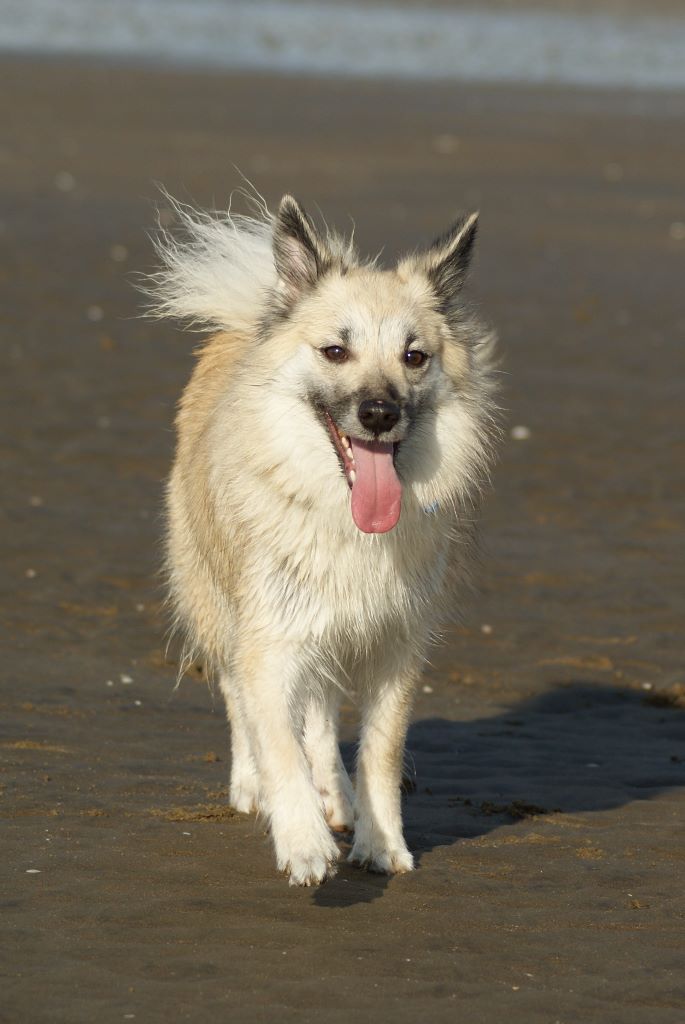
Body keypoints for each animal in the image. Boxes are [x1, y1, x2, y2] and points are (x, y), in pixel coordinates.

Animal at [148, 190, 497, 880]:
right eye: (336, 351)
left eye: (414, 356)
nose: (379, 414)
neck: (343, 516)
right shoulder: (269, 638)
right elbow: (275, 738)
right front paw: (303, 841)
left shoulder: (393, 647)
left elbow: (378, 752)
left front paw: (379, 842)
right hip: (221, 606)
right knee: (241, 702)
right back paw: (255, 787)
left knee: (320, 710)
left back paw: (336, 795)